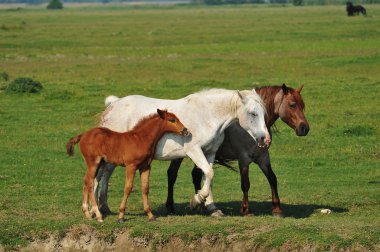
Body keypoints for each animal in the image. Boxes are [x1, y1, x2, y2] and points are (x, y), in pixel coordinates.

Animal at [94, 88, 270, 217]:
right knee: (99, 175)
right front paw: (197, 200)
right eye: (253, 113)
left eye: (263, 113)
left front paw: (212, 207)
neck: (206, 116)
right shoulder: (194, 151)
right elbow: (209, 173)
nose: (265, 139)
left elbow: (208, 177)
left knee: (105, 174)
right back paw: (96, 208)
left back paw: (103, 206)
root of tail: (113, 104)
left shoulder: (210, 153)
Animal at [166, 84, 308, 217]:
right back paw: (171, 207)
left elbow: (272, 178)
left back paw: (201, 205)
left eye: (302, 106)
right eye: (292, 105)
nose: (304, 128)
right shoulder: (243, 159)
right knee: (172, 174)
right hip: (179, 156)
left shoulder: (263, 157)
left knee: (196, 175)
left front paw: (277, 209)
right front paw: (246, 210)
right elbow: (245, 183)